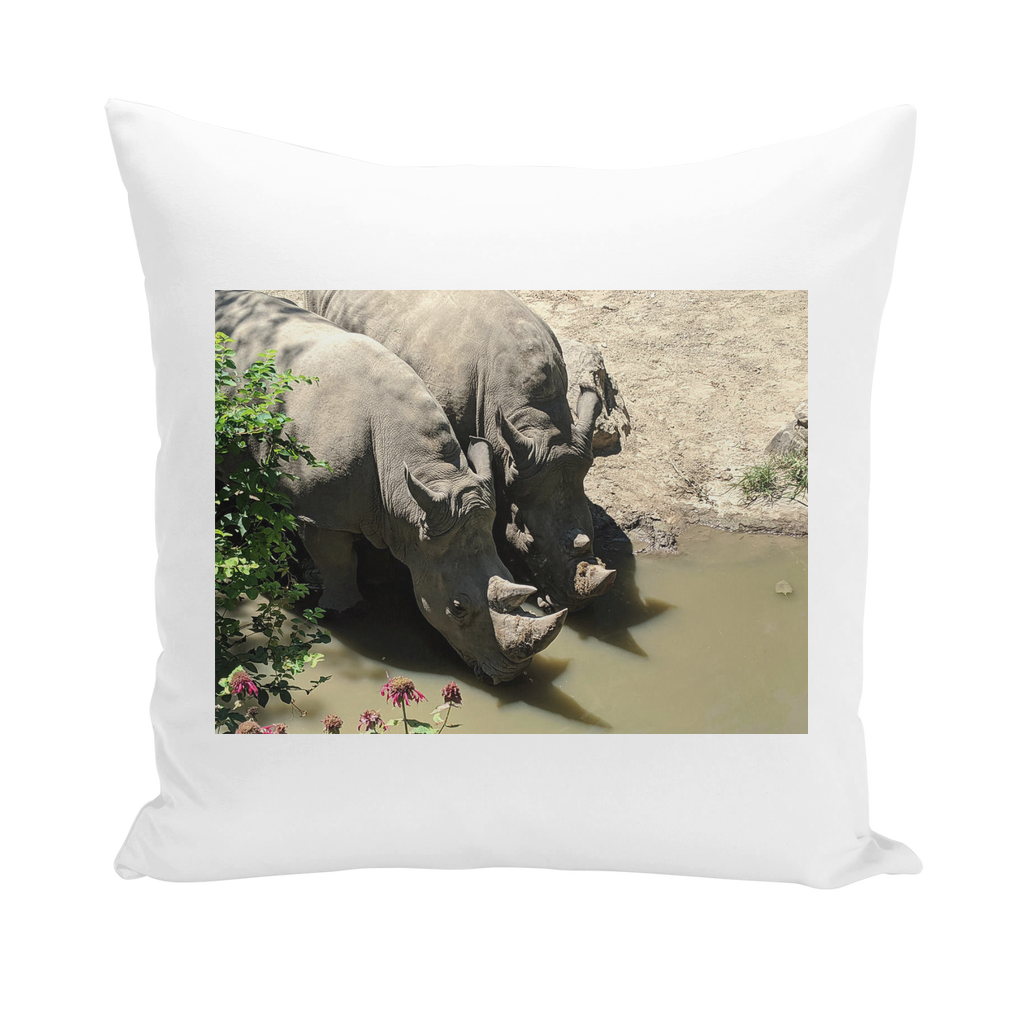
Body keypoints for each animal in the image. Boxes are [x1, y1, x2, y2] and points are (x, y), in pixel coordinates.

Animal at [215, 291, 566, 683]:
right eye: (457, 608)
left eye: (512, 577)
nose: (511, 676)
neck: (424, 473)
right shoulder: (319, 512)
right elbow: (337, 563)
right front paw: (345, 612)